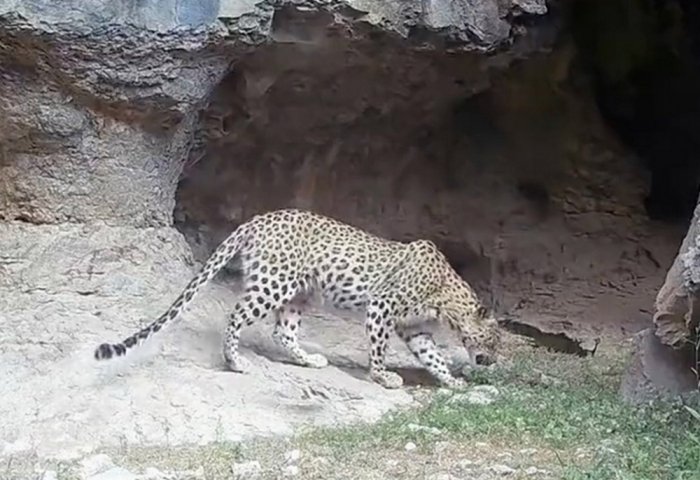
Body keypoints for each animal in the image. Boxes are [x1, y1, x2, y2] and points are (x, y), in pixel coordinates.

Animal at [94, 208, 501, 389]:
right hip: (273, 283)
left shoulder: (415, 329)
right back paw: (235, 362)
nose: (494, 362)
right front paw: (383, 376)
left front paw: (451, 381)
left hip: (298, 294)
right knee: (235, 316)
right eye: (493, 342)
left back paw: (309, 360)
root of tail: (256, 219)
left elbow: (433, 356)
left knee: (283, 332)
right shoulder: (382, 307)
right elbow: (379, 348)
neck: (445, 301)